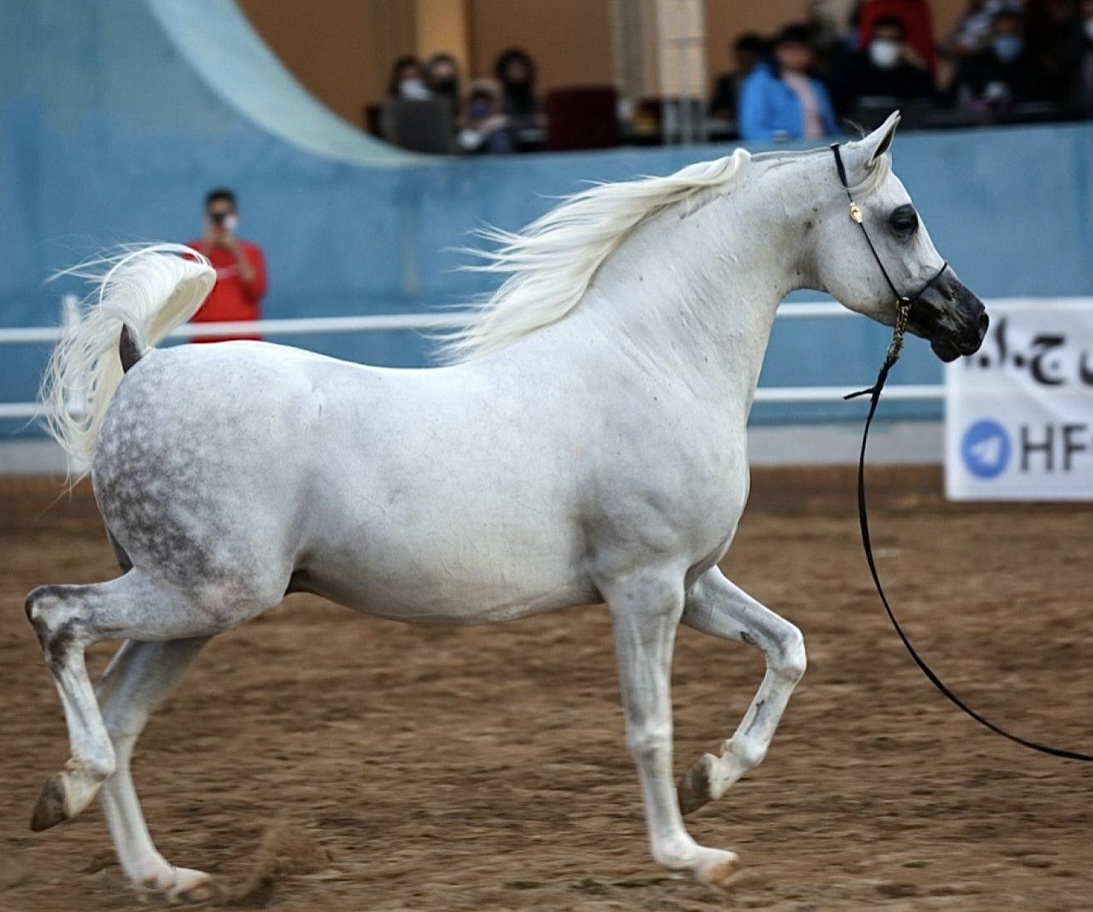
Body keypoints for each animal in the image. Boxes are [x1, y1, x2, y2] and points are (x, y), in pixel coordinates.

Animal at [25, 112, 988, 896]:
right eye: (901, 217)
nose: (968, 321)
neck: (656, 360)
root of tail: (144, 364)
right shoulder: (644, 589)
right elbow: (648, 724)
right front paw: (686, 854)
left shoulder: (691, 581)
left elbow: (786, 649)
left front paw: (714, 777)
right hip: (203, 593)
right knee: (54, 618)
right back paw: (68, 787)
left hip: (191, 611)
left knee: (121, 715)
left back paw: (154, 869)